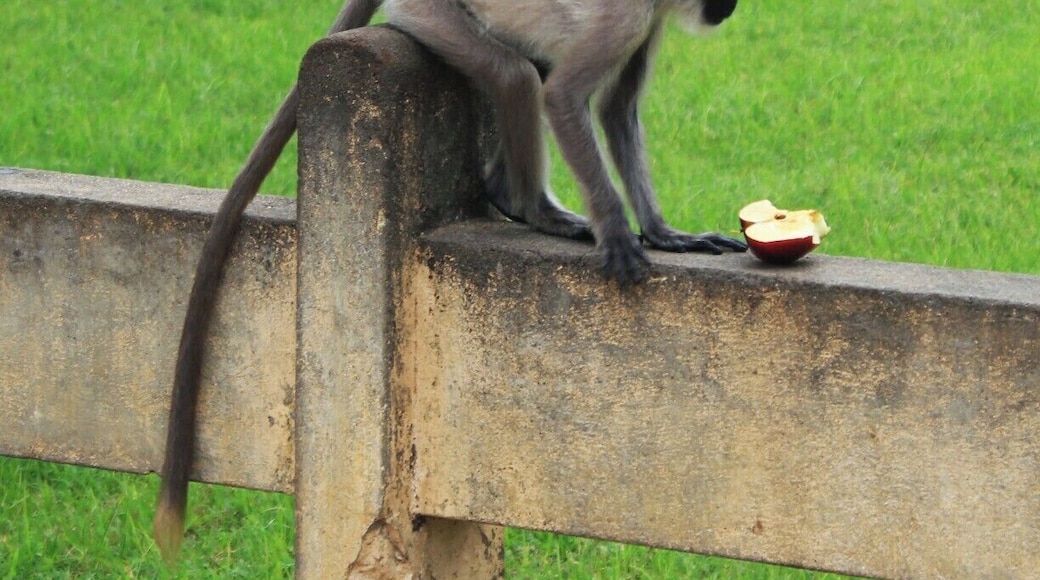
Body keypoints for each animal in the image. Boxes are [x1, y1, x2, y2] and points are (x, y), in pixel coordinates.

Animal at [153, 0, 745, 562]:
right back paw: (533, 207)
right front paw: (618, 236)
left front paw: (664, 234)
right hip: (427, 14)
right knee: (518, 76)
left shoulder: (646, 22)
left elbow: (616, 111)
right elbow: (563, 98)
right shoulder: (626, 17)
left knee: (531, 66)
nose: (728, 9)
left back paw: (515, 196)